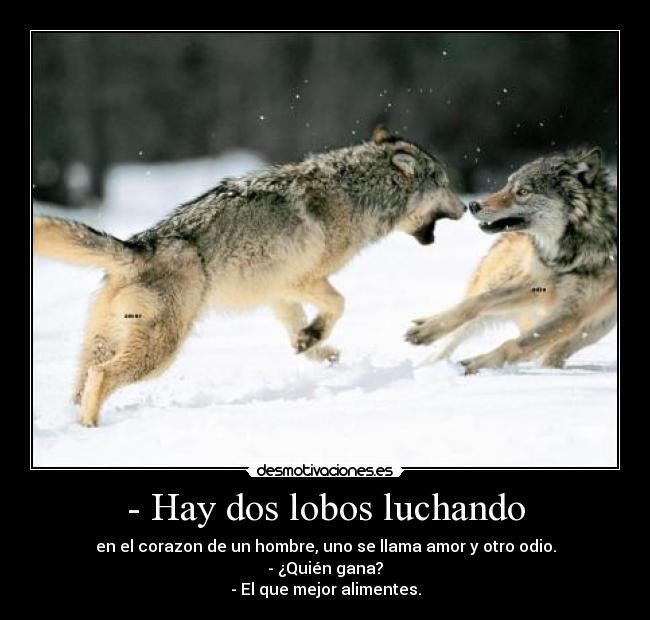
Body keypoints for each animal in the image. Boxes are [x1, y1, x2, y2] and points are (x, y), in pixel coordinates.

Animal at [34, 125, 465, 426]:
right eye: (445, 184)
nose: (466, 207)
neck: (357, 194)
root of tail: (139, 245)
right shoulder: (303, 280)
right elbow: (340, 303)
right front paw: (316, 338)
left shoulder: (277, 292)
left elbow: (298, 331)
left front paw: (313, 345)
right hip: (160, 353)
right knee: (103, 376)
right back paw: (92, 428)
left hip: (104, 343)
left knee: (83, 383)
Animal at [405, 147, 617, 374]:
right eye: (507, 185)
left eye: (523, 192)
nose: (473, 205)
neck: (568, 254)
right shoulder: (537, 283)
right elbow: (477, 302)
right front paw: (426, 330)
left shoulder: (572, 311)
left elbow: (515, 345)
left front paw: (476, 364)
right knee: (457, 334)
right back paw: (428, 363)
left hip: (599, 325)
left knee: (554, 349)